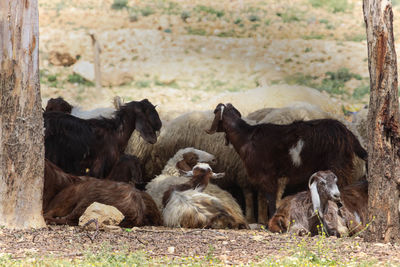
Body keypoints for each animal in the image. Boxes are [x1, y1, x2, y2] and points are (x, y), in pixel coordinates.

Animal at [208, 102, 368, 222]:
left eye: (215, 112)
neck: (246, 137)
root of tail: (347, 133)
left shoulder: (266, 175)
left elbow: (271, 199)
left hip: (339, 164)